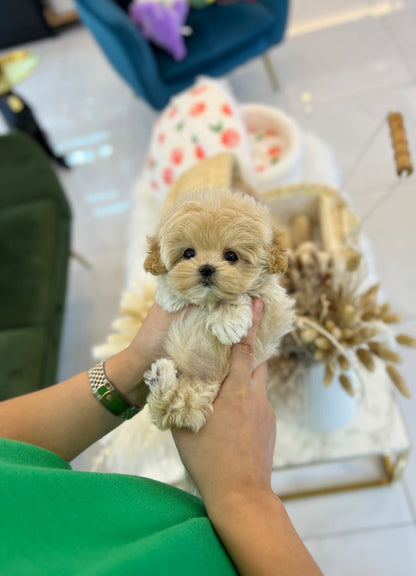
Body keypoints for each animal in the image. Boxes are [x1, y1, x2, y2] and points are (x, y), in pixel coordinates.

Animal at [145, 187, 294, 430]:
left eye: (231, 256)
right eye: (188, 253)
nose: (206, 268)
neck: (208, 301)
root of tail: (206, 382)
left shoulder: (271, 304)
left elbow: (244, 295)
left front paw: (228, 323)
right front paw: (171, 295)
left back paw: (161, 377)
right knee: (171, 407)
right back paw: (160, 377)